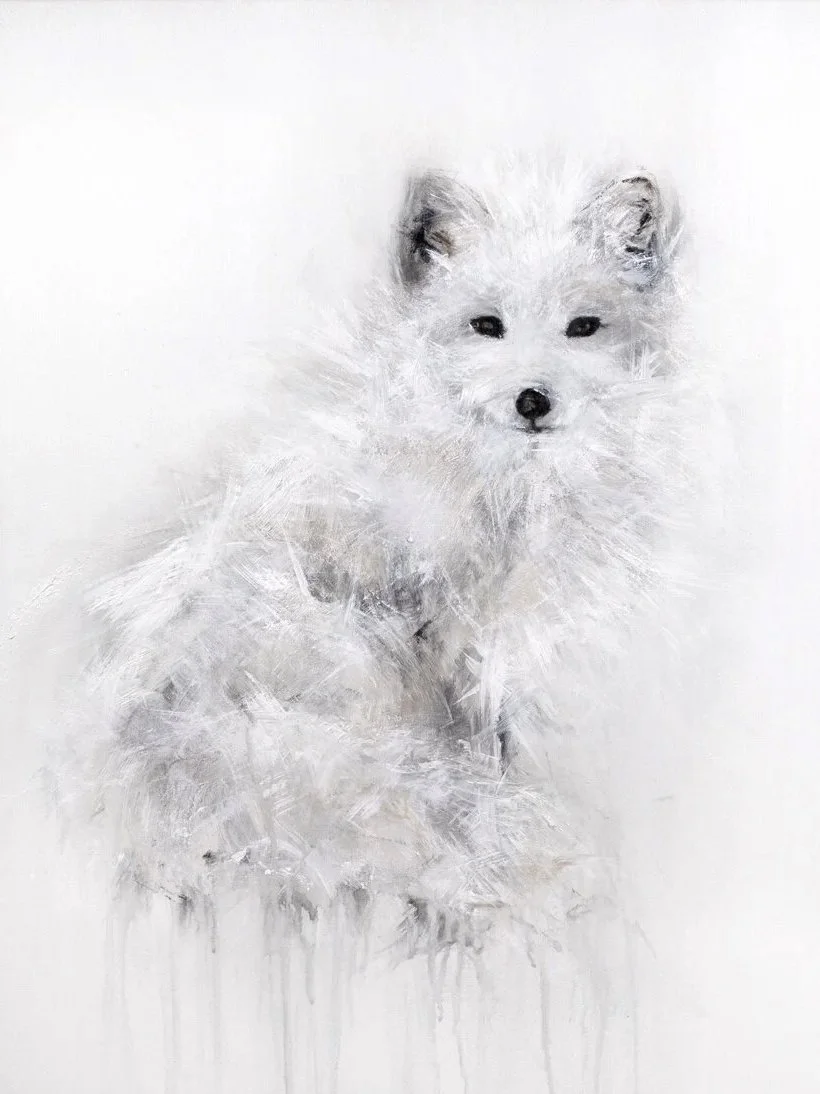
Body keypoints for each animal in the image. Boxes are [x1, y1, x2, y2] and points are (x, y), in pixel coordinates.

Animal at [64, 154, 700, 944]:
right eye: (486, 326)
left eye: (583, 327)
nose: (532, 400)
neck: (502, 485)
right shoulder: (435, 628)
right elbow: (475, 747)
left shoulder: (483, 640)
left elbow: (494, 741)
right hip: (344, 647)